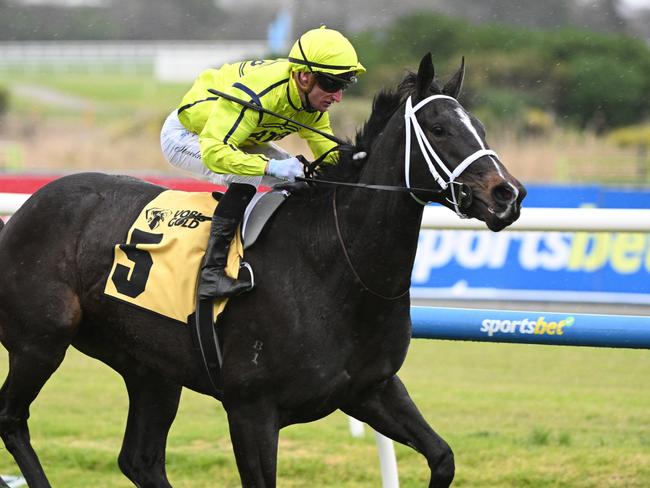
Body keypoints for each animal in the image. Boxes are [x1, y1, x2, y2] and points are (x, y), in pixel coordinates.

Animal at [0, 54, 524, 488]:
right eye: (438, 127)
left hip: (150, 369)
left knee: (140, 460)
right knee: (12, 419)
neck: (334, 267)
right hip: (41, 342)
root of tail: (23, 213)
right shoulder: (251, 410)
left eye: (478, 126)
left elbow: (443, 457)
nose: (508, 193)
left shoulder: (371, 389)